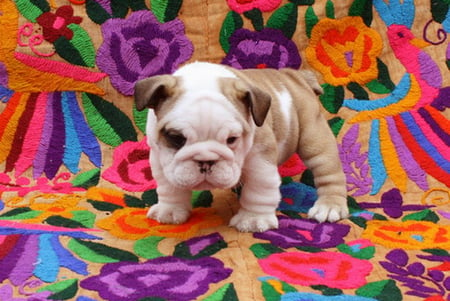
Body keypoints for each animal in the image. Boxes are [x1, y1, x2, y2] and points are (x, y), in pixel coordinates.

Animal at [134, 61, 348, 232]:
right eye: (176, 138)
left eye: (232, 139)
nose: (206, 161)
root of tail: (295, 77)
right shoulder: (161, 160)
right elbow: (169, 187)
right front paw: (170, 209)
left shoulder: (261, 160)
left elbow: (259, 190)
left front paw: (253, 219)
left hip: (314, 138)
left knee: (329, 173)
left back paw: (330, 206)